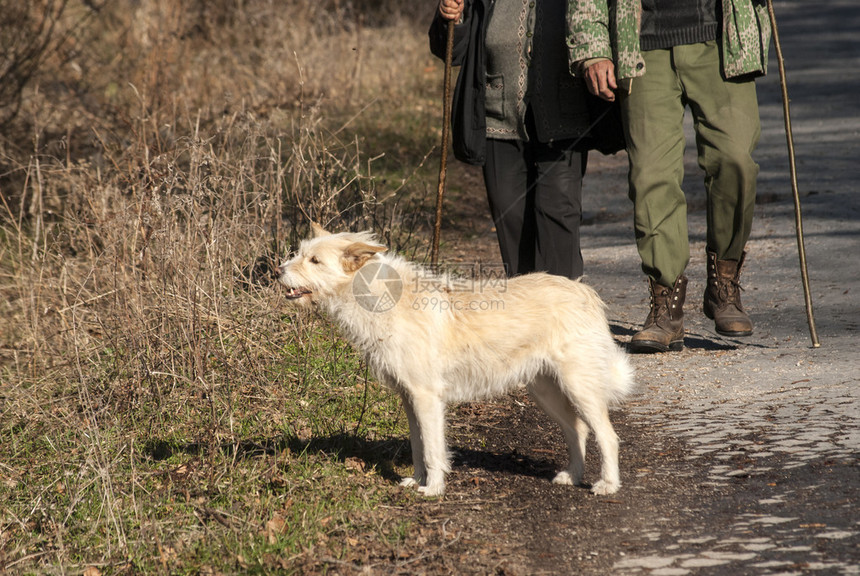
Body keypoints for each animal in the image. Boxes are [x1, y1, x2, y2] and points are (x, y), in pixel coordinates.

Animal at [278, 224, 636, 496]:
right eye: (300, 253)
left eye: (314, 260)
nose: (277, 270)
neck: (381, 299)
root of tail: (584, 291)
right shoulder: (410, 399)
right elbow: (418, 447)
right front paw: (416, 482)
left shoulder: (427, 397)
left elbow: (433, 450)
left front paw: (433, 489)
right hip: (545, 392)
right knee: (577, 430)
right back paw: (572, 476)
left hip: (579, 388)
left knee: (607, 436)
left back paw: (607, 484)